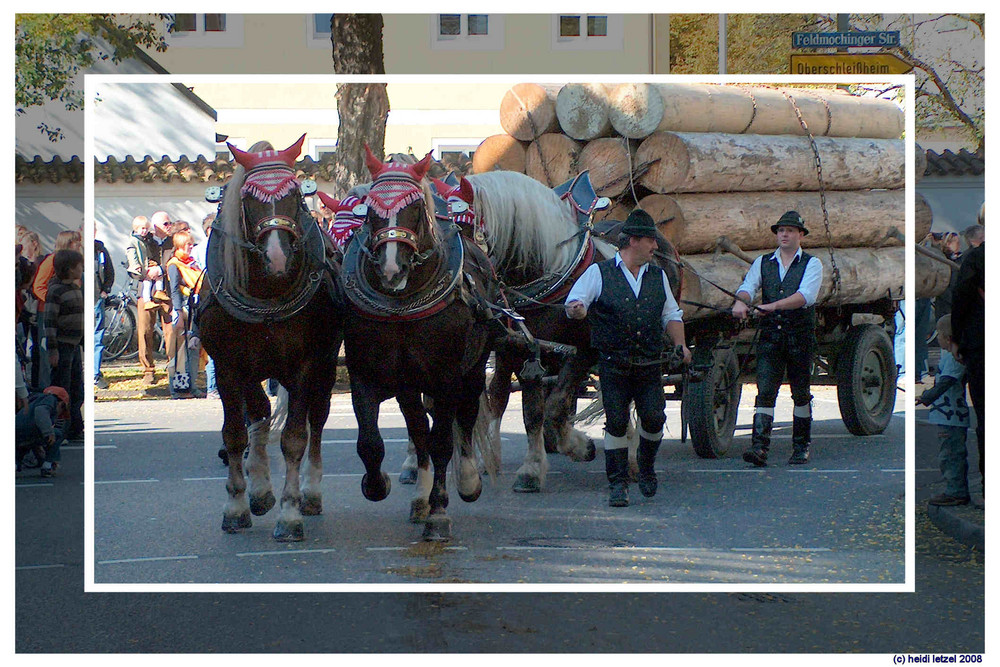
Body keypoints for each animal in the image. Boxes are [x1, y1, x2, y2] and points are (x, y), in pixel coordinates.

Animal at [195, 136, 344, 544]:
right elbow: (235, 434)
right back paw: (259, 487)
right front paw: (237, 506)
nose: (277, 257)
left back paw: (310, 493)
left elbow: (294, 438)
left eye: (294, 194)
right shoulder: (228, 365)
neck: (267, 292)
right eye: (249, 198)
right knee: (259, 412)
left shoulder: (305, 365)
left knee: (316, 421)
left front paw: (290, 514)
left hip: (324, 365)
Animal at [344, 147, 500, 544]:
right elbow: (371, 442)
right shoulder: (365, 374)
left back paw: (467, 481)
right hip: (409, 385)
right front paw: (377, 484)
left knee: (466, 416)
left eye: (413, 208)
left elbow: (443, 440)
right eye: (370, 210)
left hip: (474, 368)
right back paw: (420, 498)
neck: (404, 305)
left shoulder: (446, 378)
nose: (391, 270)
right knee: (418, 428)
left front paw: (440, 512)